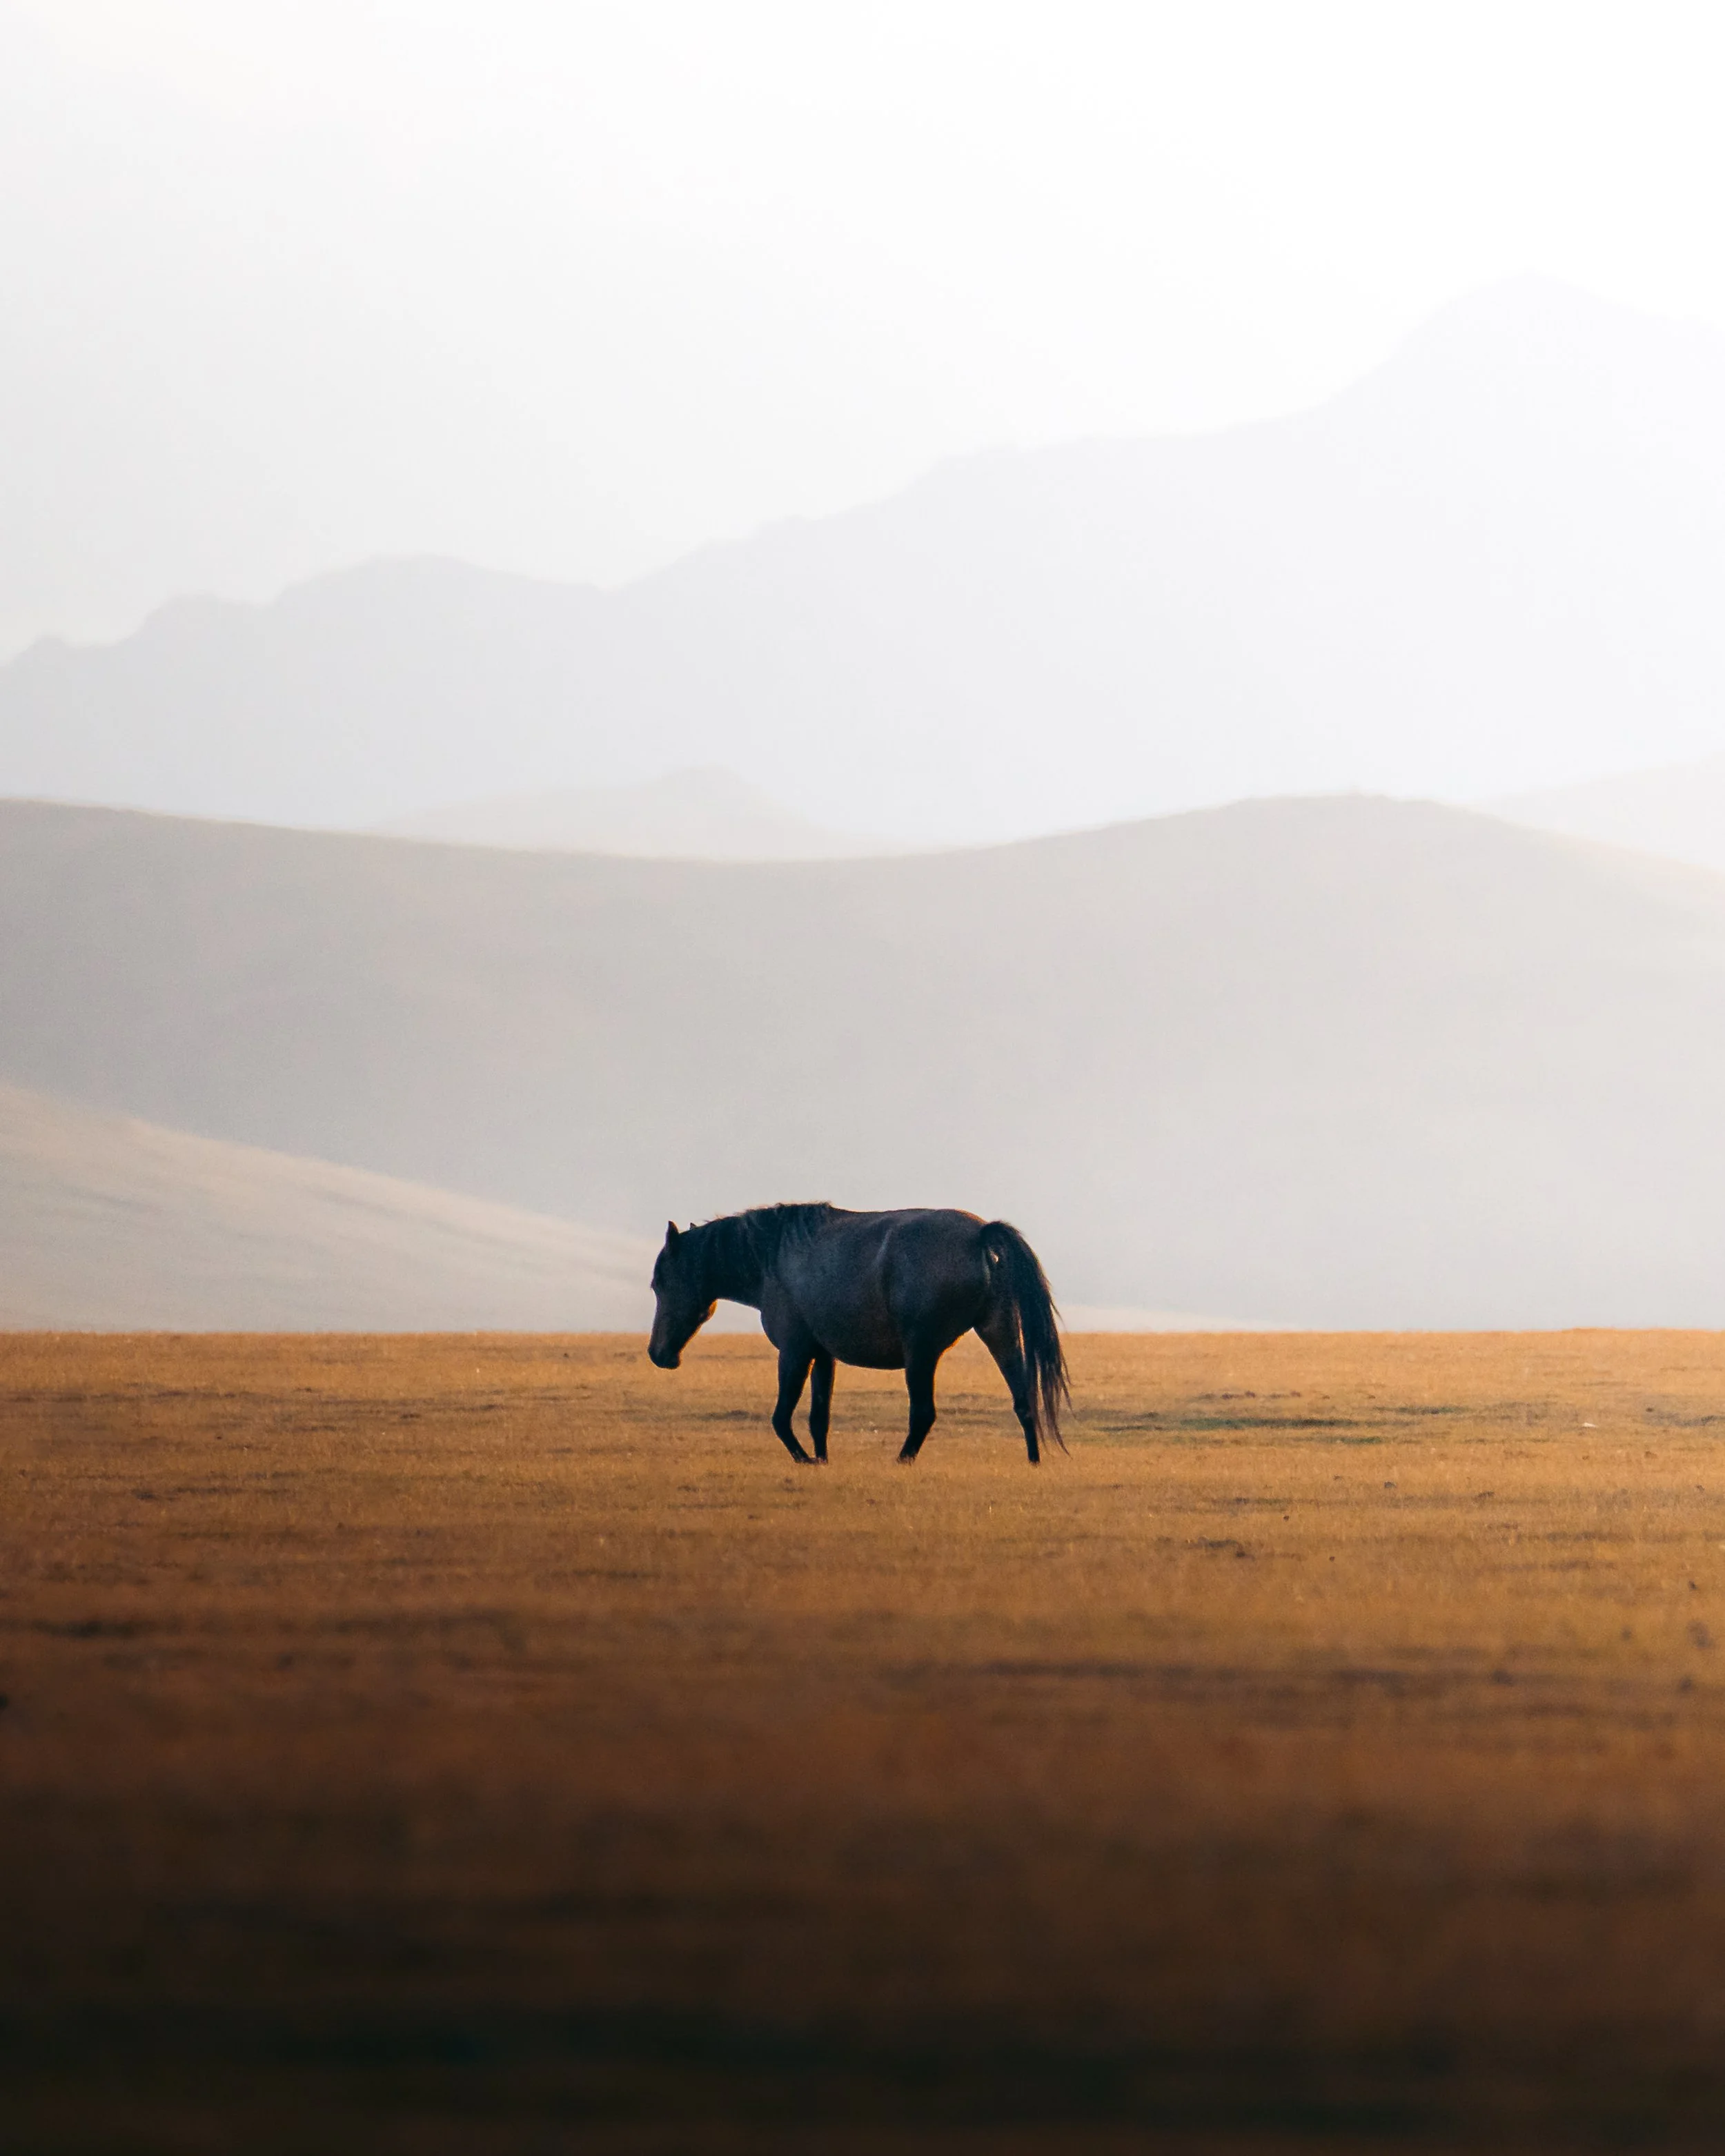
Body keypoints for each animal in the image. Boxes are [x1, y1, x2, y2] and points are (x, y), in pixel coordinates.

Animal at [647, 1203, 1069, 1464]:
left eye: (660, 1282)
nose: (658, 1354)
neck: (773, 1258)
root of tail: (981, 1234)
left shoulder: (794, 1352)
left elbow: (782, 1418)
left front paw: (805, 1460)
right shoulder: (822, 1355)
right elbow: (819, 1416)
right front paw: (821, 1459)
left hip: (921, 1353)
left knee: (923, 1413)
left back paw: (902, 1460)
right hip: (1000, 1333)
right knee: (1023, 1400)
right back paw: (1033, 1461)